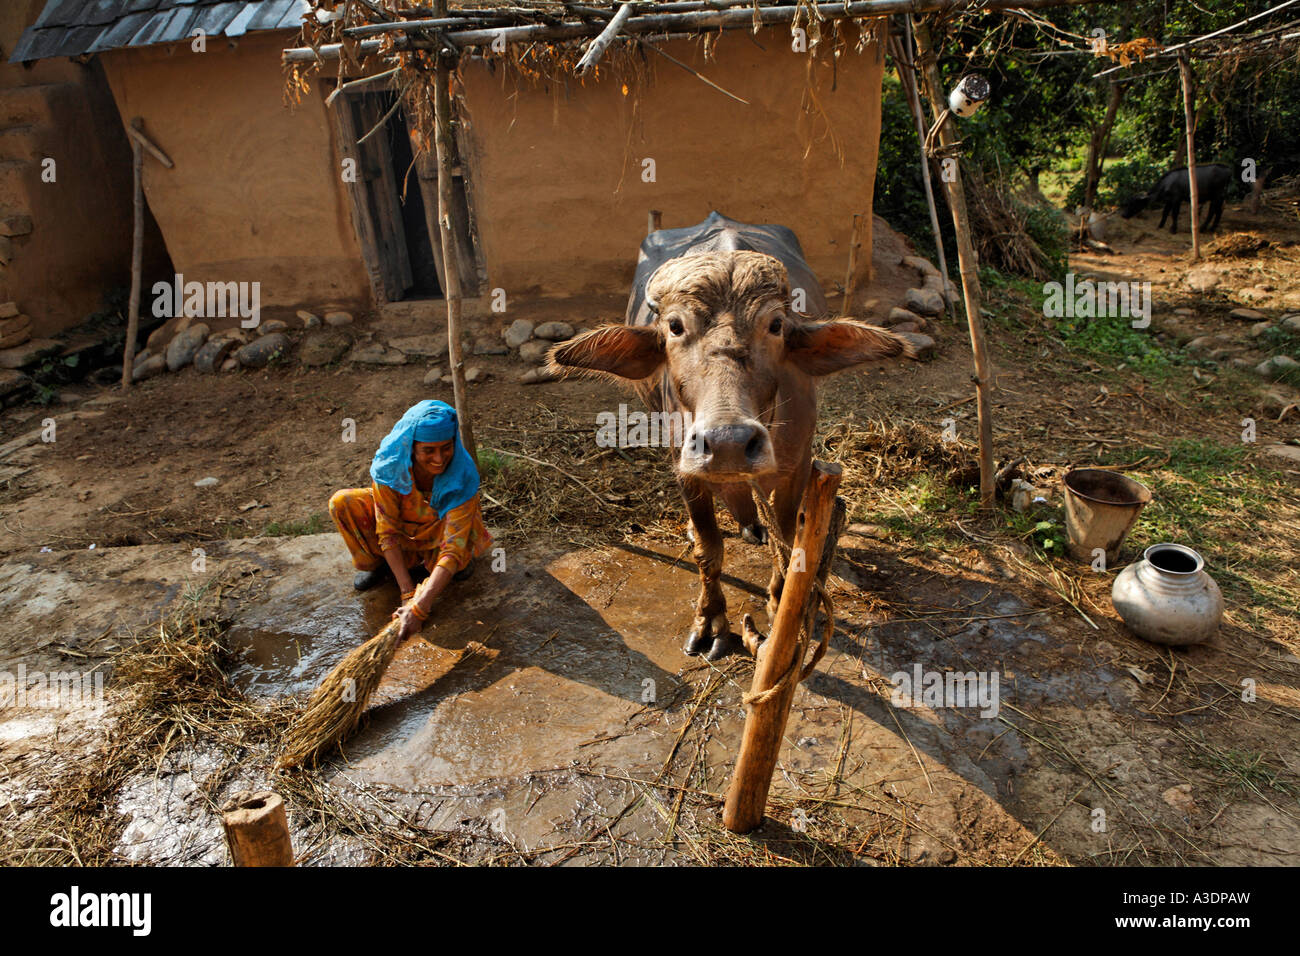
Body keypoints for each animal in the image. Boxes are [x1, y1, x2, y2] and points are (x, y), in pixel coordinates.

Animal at [548, 251, 915, 660]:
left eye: (775, 325)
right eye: (674, 326)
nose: (728, 442)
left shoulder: (797, 467)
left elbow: (787, 541)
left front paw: (779, 602)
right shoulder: (687, 471)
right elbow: (709, 550)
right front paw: (711, 621)